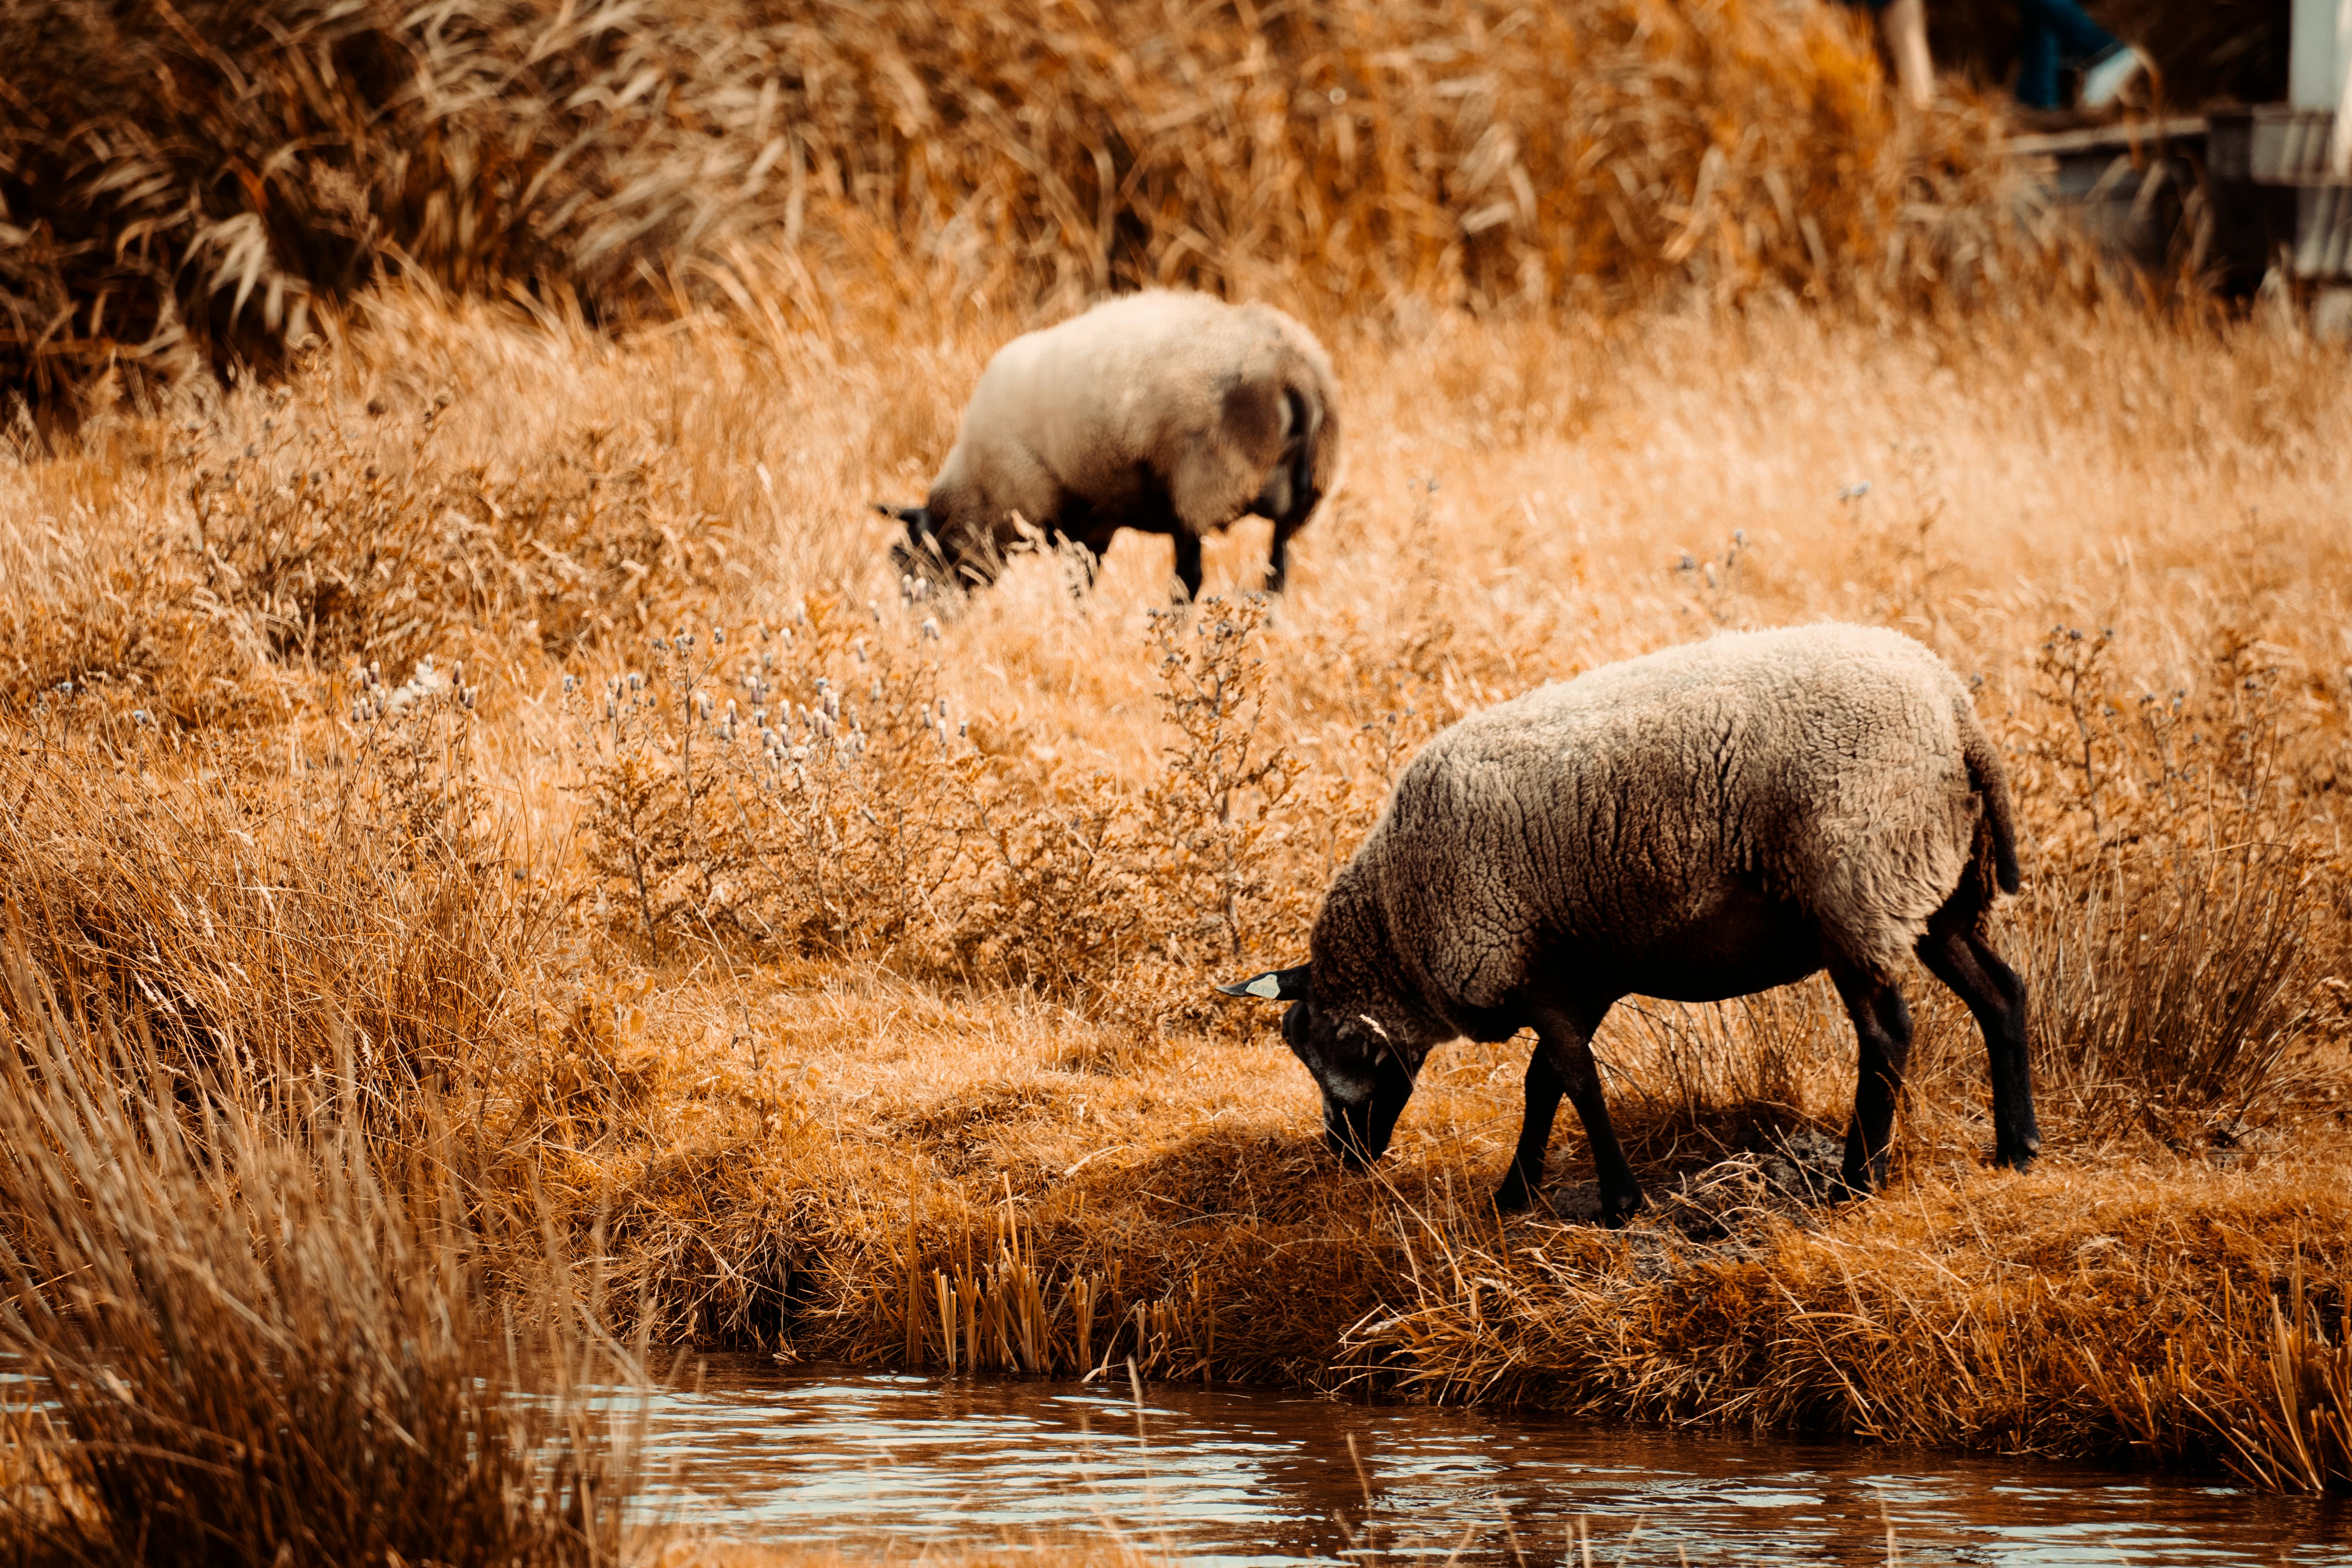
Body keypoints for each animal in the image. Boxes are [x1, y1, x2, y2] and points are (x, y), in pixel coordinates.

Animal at [878, 291, 1339, 600]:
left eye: (911, 564)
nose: (923, 630)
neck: (981, 492)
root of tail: (1293, 370)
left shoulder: (1070, 516)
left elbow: (1078, 584)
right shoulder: (1097, 518)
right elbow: (1083, 578)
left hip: (1201, 489)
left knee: (1189, 580)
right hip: (1299, 502)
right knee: (1277, 575)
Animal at [1218, 623, 2039, 1223]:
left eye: (1319, 1051)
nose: (1343, 1155)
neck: (1399, 921)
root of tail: (1954, 710)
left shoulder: (1532, 973)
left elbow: (1576, 1081)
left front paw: (1618, 1201)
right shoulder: (1584, 976)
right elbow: (1544, 1083)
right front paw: (1515, 1193)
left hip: (1857, 886)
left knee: (1887, 1036)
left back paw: (1856, 1182)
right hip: (1933, 889)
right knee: (2002, 995)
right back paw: (2018, 1147)